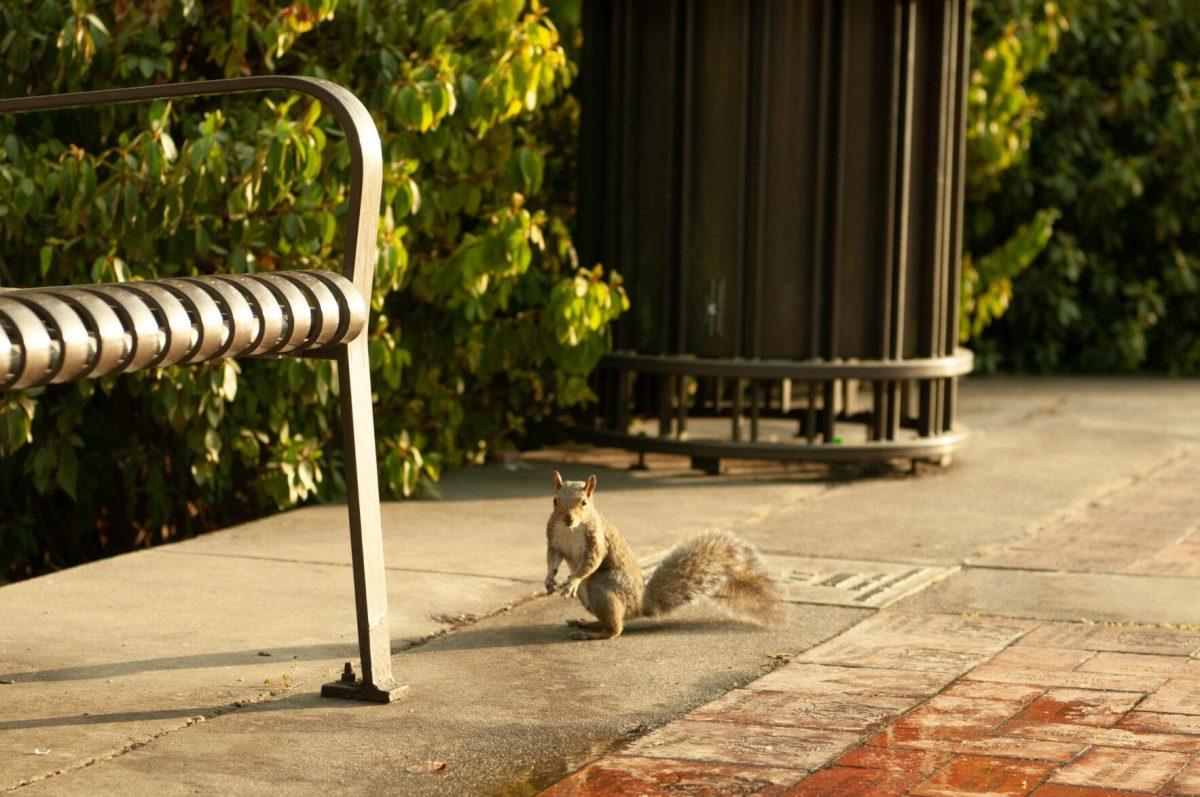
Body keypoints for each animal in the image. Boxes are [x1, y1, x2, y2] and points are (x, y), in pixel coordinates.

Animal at [547, 470, 787, 638]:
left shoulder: (597, 539)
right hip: (589, 596)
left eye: (584, 502)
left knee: (616, 627)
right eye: (555, 500)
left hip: (602, 586)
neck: (571, 530)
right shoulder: (555, 540)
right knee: (609, 620)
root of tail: (638, 604)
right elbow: (553, 558)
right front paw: (550, 580)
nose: (567, 518)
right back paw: (589, 623)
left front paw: (572, 581)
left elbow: (592, 562)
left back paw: (594, 633)